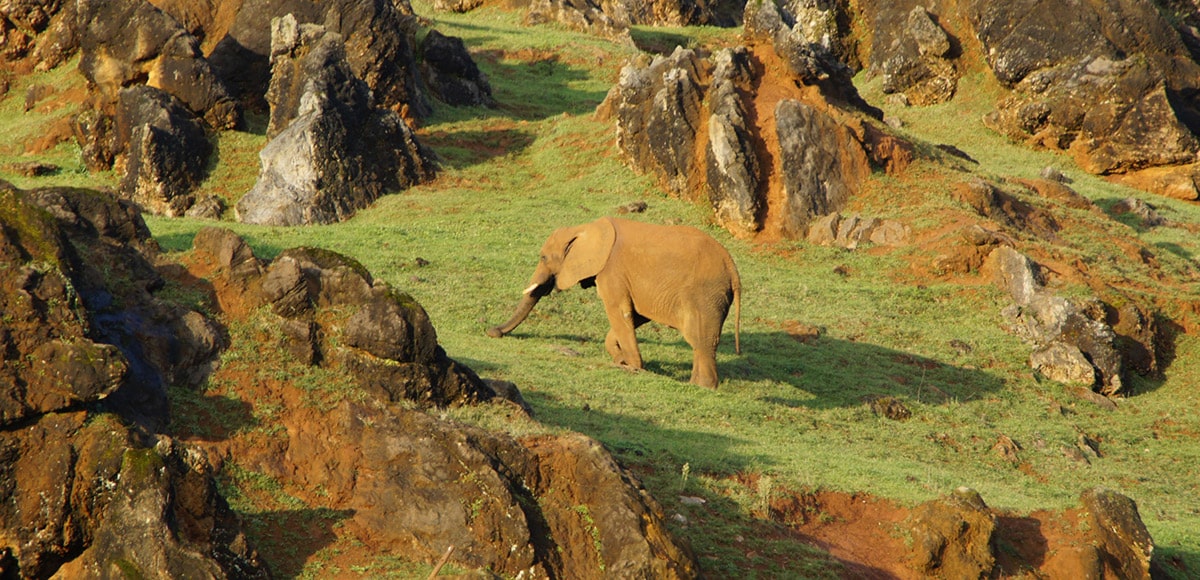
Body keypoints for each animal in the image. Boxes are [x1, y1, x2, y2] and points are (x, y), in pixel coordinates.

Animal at [487, 218, 739, 391]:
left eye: (543, 258)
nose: (492, 332)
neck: (584, 228)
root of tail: (732, 268)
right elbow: (635, 314)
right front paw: (621, 359)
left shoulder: (611, 270)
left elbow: (619, 311)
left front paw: (632, 366)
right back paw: (695, 384)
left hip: (705, 295)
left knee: (701, 340)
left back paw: (702, 387)